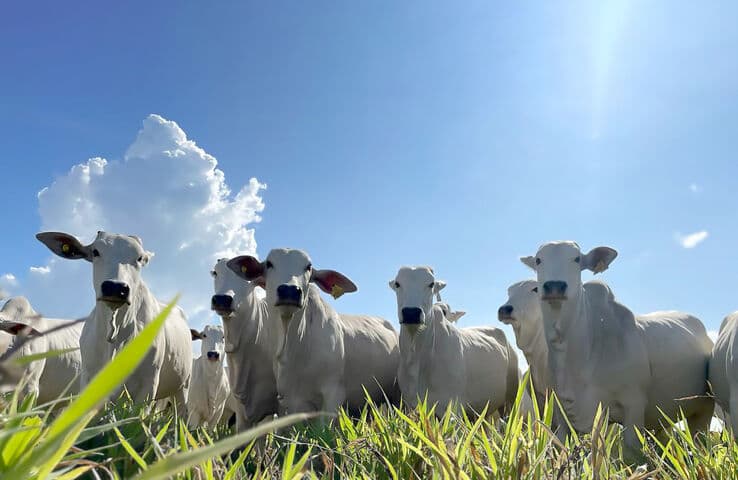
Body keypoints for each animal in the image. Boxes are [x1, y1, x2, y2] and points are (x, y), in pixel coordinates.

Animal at [36, 232, 191, 404]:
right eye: (95, 252)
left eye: (140, 258)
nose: (115, 287)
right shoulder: (89, 379)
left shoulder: (148, 385)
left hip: (183, 387)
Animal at [388, 266, 520, 416]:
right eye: (398, 284)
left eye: (431, 284)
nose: (411, 313)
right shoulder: (412, 407)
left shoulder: (452, 408)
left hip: (510, 401)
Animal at [516, 242, 712, 456]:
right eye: (538, 260)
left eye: (577, 259)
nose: (554, 286)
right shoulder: (562, 413)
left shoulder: (633, 405)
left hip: (703, 410)